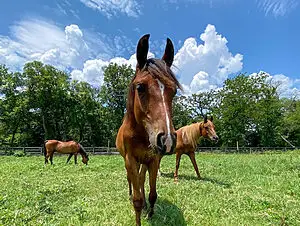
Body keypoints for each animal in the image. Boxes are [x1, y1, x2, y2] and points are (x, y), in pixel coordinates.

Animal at [115, 34, 182, 226]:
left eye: (174, 91)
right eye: (140, 87)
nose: (167, 140)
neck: (141, 134)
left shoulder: (153, 160)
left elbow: (152, 194)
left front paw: (150, 212)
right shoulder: (130, 159)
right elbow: (136, 198)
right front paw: (139, 212)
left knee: (140, 179)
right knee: (132, 180)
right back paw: (131, 194)